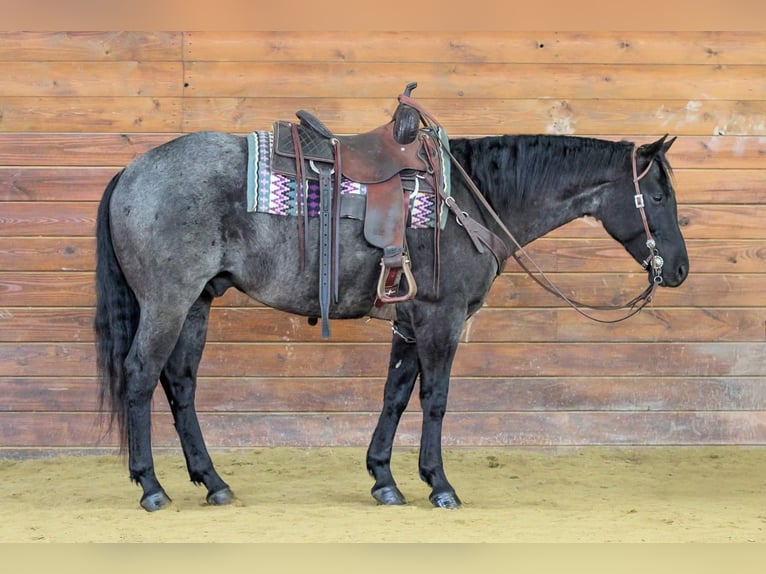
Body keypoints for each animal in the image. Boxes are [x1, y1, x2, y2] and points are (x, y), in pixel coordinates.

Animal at [94, 108, 688, 511]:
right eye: (658, 198)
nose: (679, 270)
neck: (470, 201)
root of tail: (130, 171)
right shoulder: (441, 317)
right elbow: (435, 400)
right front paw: (440, 485)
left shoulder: (409, 322)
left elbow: (396, 396)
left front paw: (384, 478)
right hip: (168, 300)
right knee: (141, 375)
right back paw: (151, 486)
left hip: (197, 301)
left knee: (180, 383)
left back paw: (213, 482)